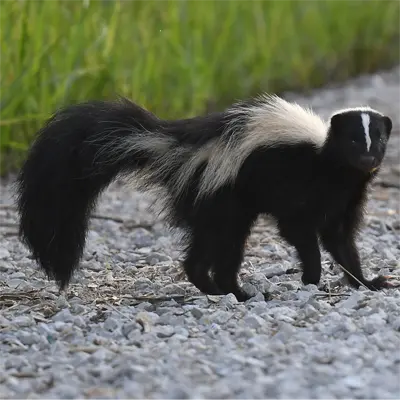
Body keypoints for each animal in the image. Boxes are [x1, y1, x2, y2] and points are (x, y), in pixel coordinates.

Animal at [14, 94, 396, 300]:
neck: (336, 169)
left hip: (212, 203)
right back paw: (236, 292)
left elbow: (341, 241)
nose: (368, 158)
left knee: (201, 250)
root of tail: (179, 147)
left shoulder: (344, 200)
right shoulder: (302, 186)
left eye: (378, 139)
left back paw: (215, 289)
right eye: (352, 140)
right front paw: (311, 277)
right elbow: (299, 231)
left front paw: (367, 281)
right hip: (225, 197)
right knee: (224, 246)